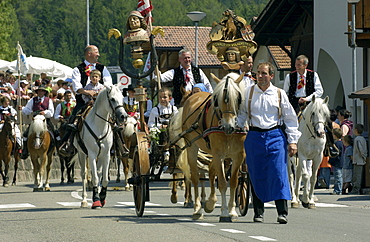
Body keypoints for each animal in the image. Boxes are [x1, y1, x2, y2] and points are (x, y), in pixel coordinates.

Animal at [179, 72, 246, 221]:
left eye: (238, 98)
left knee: (210, 172)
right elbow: (222, 182)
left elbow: (233, 182)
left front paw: (232, 211)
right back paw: (197, 209)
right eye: (217, 100)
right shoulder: (218, 154)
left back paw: (210, 202)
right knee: (195, 177)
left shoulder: (238, 155)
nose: (228, 126)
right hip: (192, 147)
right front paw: (225, 212)